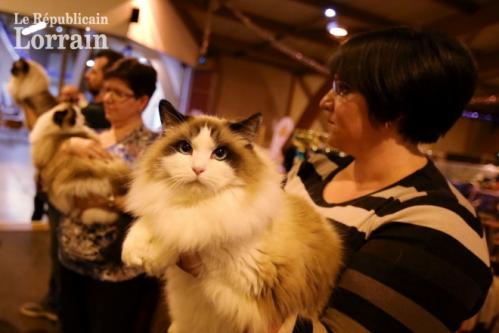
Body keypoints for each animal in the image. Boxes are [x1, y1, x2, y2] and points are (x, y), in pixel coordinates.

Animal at [122, 100, 344, 332]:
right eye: (185, 148)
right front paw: (135, 252)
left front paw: (153, 256)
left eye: (220, 154)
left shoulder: (244, 287)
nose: (198, 169)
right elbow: (160, 221)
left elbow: (193, 237)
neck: (200, 205)